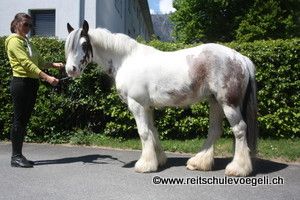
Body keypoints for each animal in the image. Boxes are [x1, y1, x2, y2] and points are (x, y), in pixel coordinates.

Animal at [65, 20, 258, 177]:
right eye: (68, 45)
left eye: (84, 44)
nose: (70, 70)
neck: (126, 59)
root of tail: (240, 58)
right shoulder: (147, 107)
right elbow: (153, 132)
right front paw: (158, 160)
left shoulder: (137, 105)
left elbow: (143, 133)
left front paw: (144, 165)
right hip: (215, 102)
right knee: (215, 131)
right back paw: (199, 162)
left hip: (228, 104)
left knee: (240, 129)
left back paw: (238, 169)